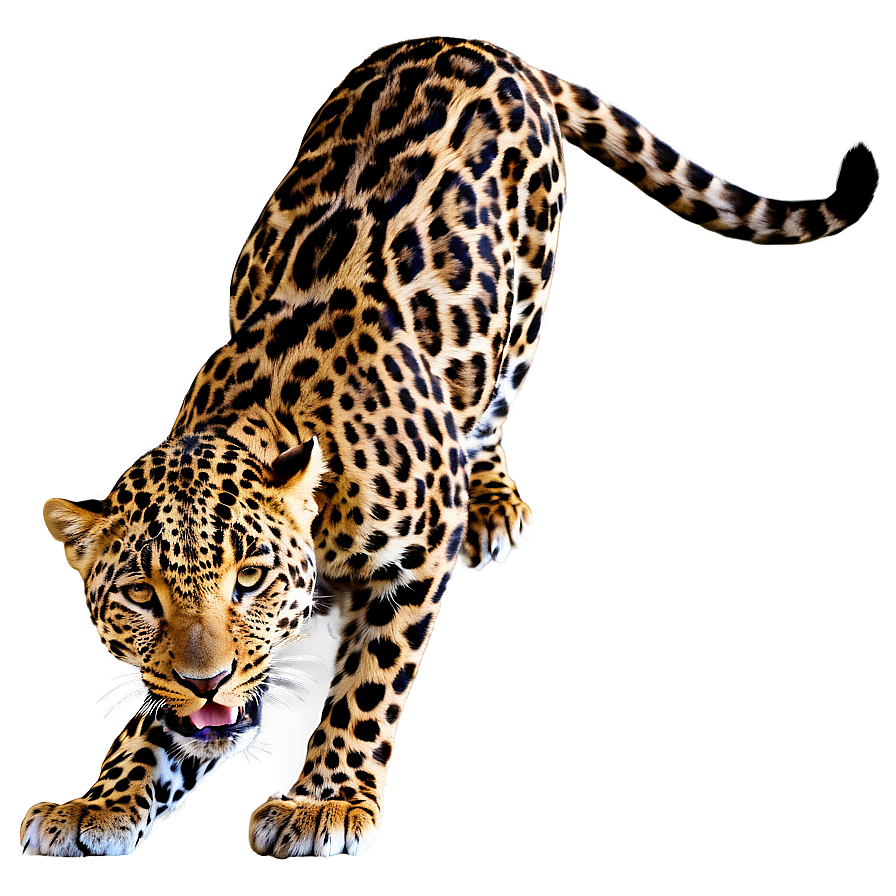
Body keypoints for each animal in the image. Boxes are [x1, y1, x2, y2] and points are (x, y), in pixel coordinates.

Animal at [21, 36, 876, 858]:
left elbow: (370, 682)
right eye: (141, 595)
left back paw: (491, 498)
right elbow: (158, 721)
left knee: (493, 403)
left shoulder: (416, 555)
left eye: (250, 579)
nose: (209, 681)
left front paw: (328, 800)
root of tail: (490, 49)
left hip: (525, 303)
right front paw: (98, 801)